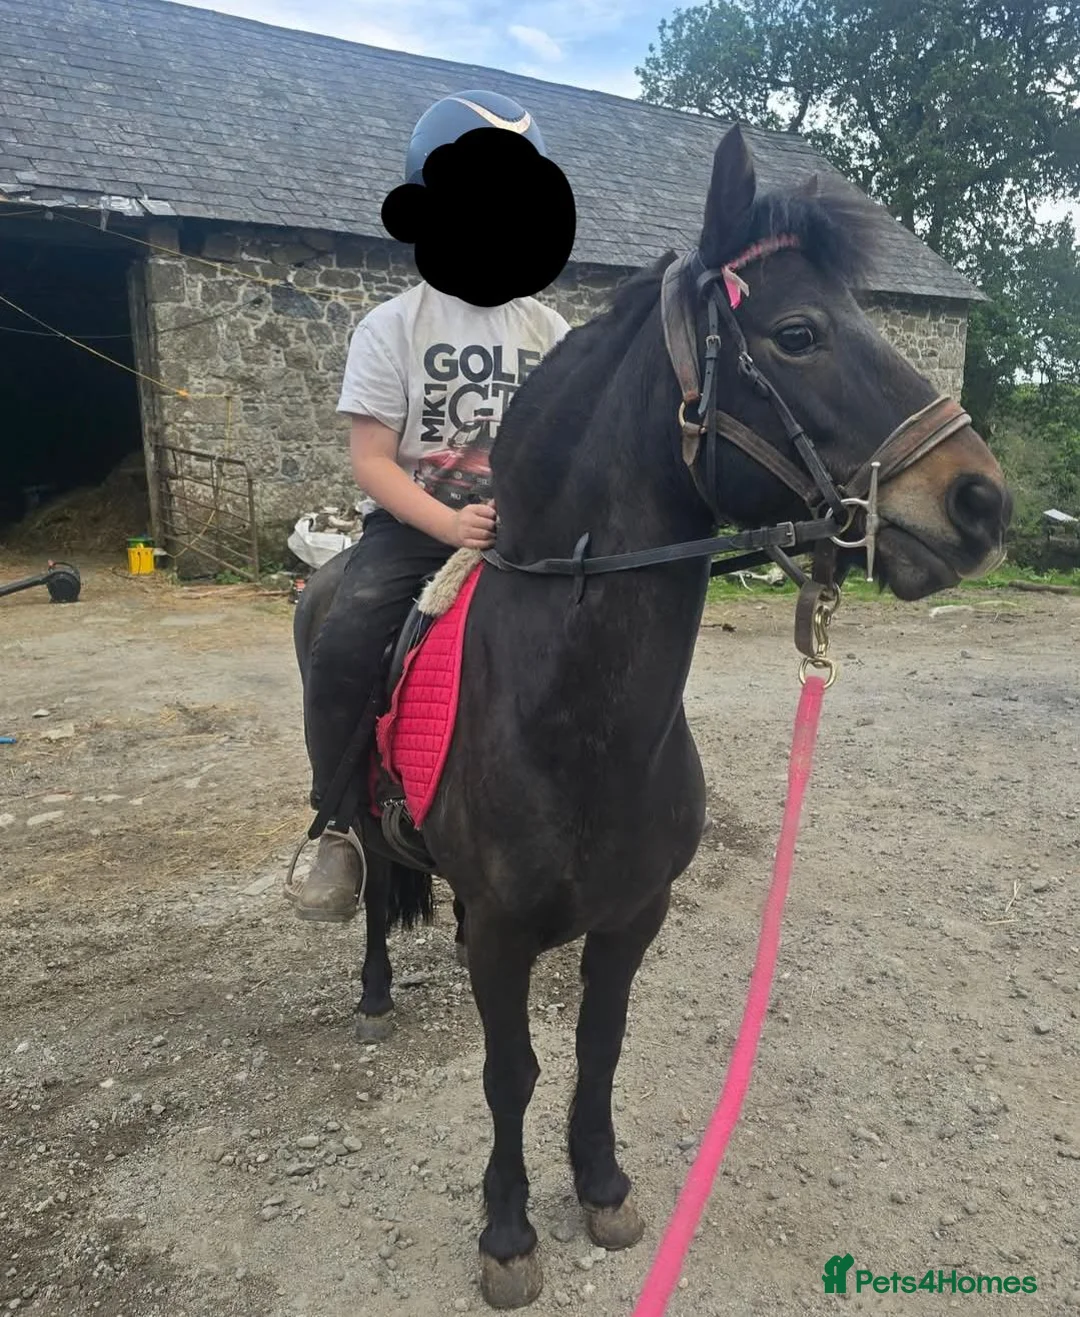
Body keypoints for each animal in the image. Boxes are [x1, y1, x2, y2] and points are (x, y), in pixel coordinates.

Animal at [295, 125, 1010, 1308]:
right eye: (799, 333)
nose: (981, 502)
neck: (576, 722)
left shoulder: (634, 917)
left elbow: (599, 1047)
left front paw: (602, 1185)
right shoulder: (507, 938)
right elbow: (510, 1070)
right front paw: (507, 1232)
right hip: (352, 790)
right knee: (366, 879)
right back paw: (372, 987)